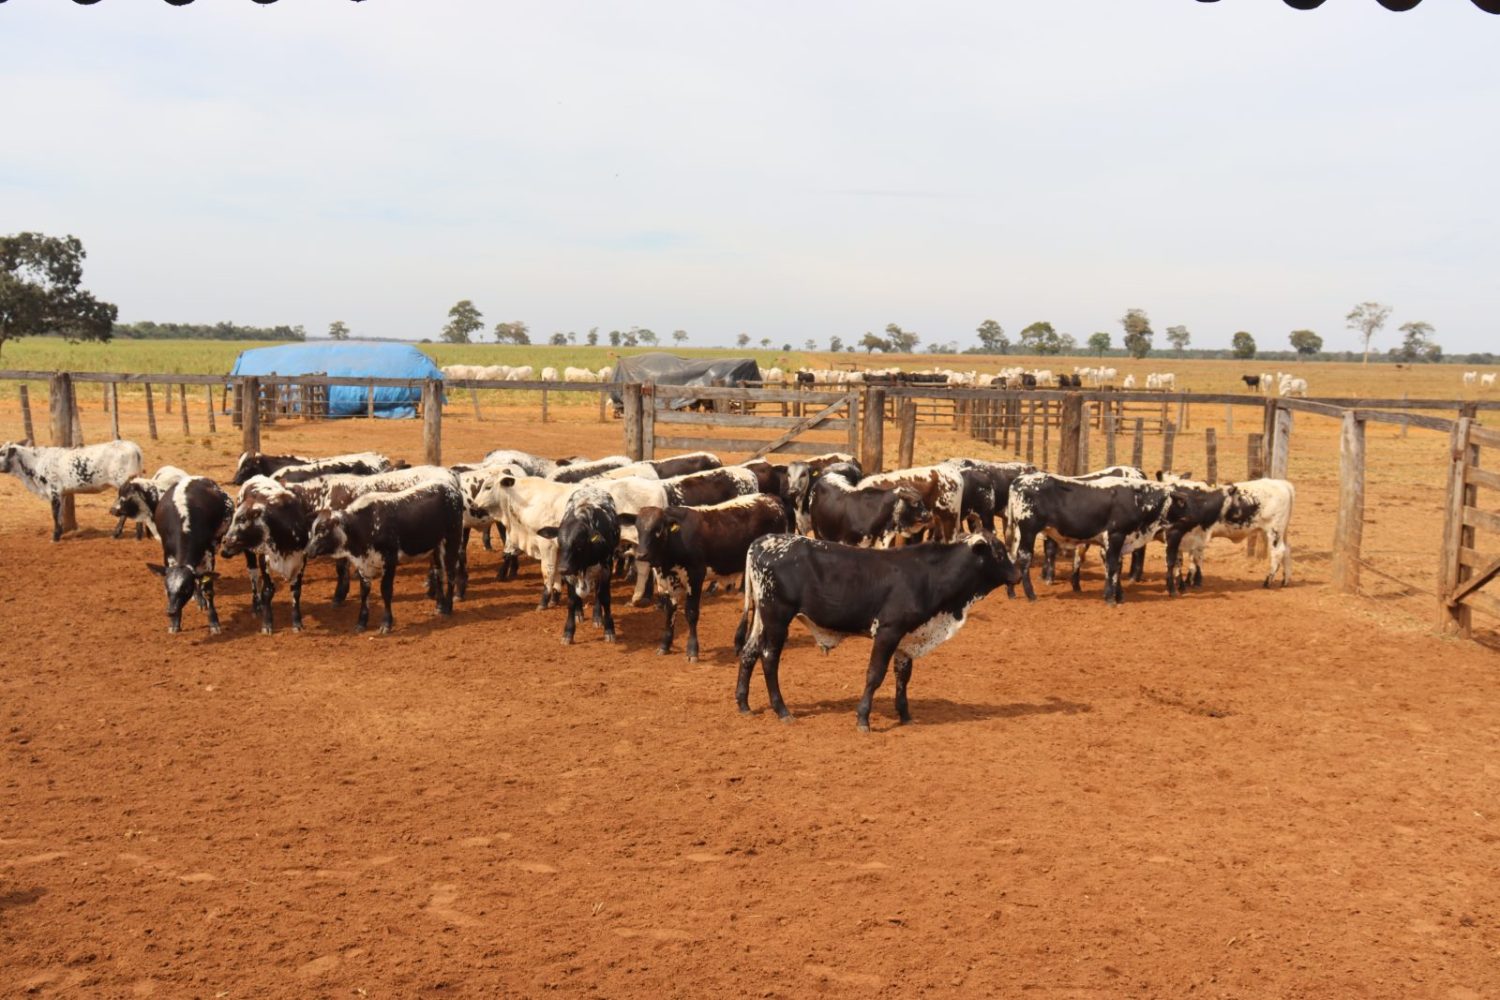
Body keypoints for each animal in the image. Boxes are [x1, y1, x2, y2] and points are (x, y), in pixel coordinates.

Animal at [1, 440, 146, 542]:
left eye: (2, 453)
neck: (37, 462)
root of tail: (134, 447)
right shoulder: (62, 494)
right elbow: (60, 514)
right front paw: (59, 533)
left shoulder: (54, 491)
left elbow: (55, 514)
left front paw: (55, 537)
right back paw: (138, 534)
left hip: (123, 483)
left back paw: (118, 533)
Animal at [303, 479, 462, 632]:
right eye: (312, 530)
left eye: (323, 529)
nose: (307, 551)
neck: (367, 524)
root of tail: (450, 488)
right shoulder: (363, 564)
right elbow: (364, 592)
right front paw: (361, 622)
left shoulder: (390, 560)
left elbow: (385, 591)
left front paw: (386, 623)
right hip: (436, 547)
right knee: (438, 573)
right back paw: (440, 605)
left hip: (452, 540)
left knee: (451, 574)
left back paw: (448, 607)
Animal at [633, 494, 792, 665]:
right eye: (638, 528)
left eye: (658, 529)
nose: (641, 555)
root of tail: (771, 498)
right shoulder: (667, 582)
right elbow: (670, 611)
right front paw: (665, 645)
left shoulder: (695, 575)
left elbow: (691, 612)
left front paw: (692, 650)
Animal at [735, 536, 1026, 731]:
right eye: (999, 552)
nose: (1018, 574)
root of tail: (761, 542)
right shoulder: (888, 631)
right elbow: (875, 675)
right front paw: (863, 718)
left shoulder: (907, 637)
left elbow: (903, 676)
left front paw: (905, 715)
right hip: (777, 618)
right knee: (769, 658)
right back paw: (782, 710)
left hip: (762, 618)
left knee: (749, 652)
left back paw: (743, 704)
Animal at [1008, 473, 1182, 605]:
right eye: (1182, 503)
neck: (1136, 497)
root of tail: (1021, 479)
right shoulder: (1115, 535)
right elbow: (1112, 566)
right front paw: (1110, 598)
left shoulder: (1116, 542)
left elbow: (1115, 567)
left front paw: (1118, 596)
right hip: (1028, 531)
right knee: (1024, 558)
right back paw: (1031, 595)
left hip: (1018, 533)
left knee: (1011, 556)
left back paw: (1011, 592)